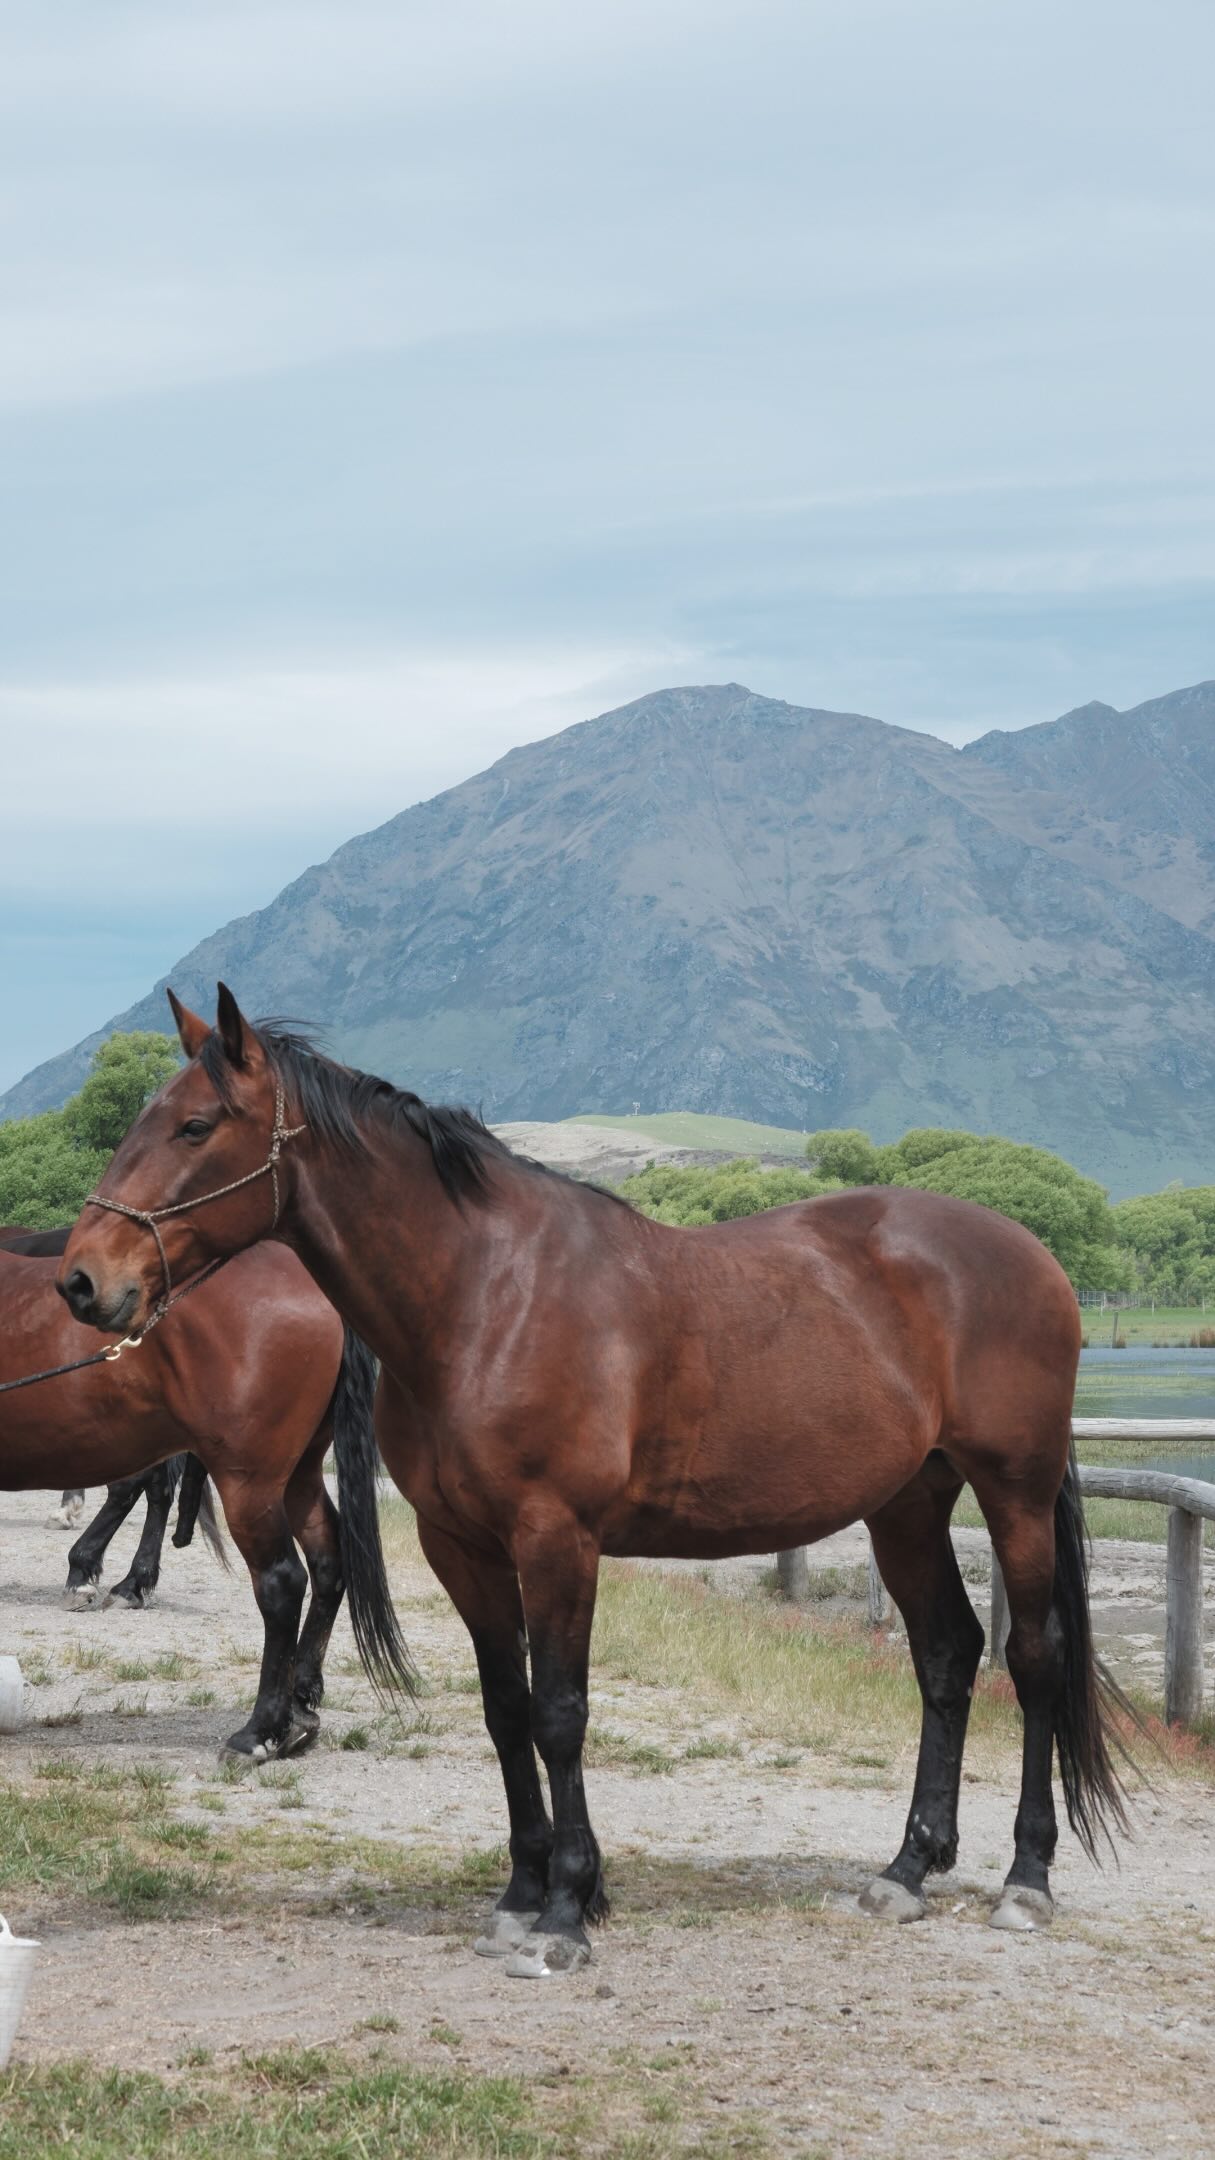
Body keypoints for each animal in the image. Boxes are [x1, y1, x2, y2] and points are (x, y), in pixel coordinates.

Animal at [58, 985, 1131, 1975]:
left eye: (194, 1125)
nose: (82, 1281)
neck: (485, 1298)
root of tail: (1029, 1253)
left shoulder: (556, 1539)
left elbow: (559, 1714)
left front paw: (568, 1913)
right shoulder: (462, 1546)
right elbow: (506, 1711)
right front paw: (520, 1894)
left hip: (1013, 1492)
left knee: (1031, 1658)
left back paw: (1025, 1879)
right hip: (907, 1506)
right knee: (946, 1657)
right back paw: (907, 1869)